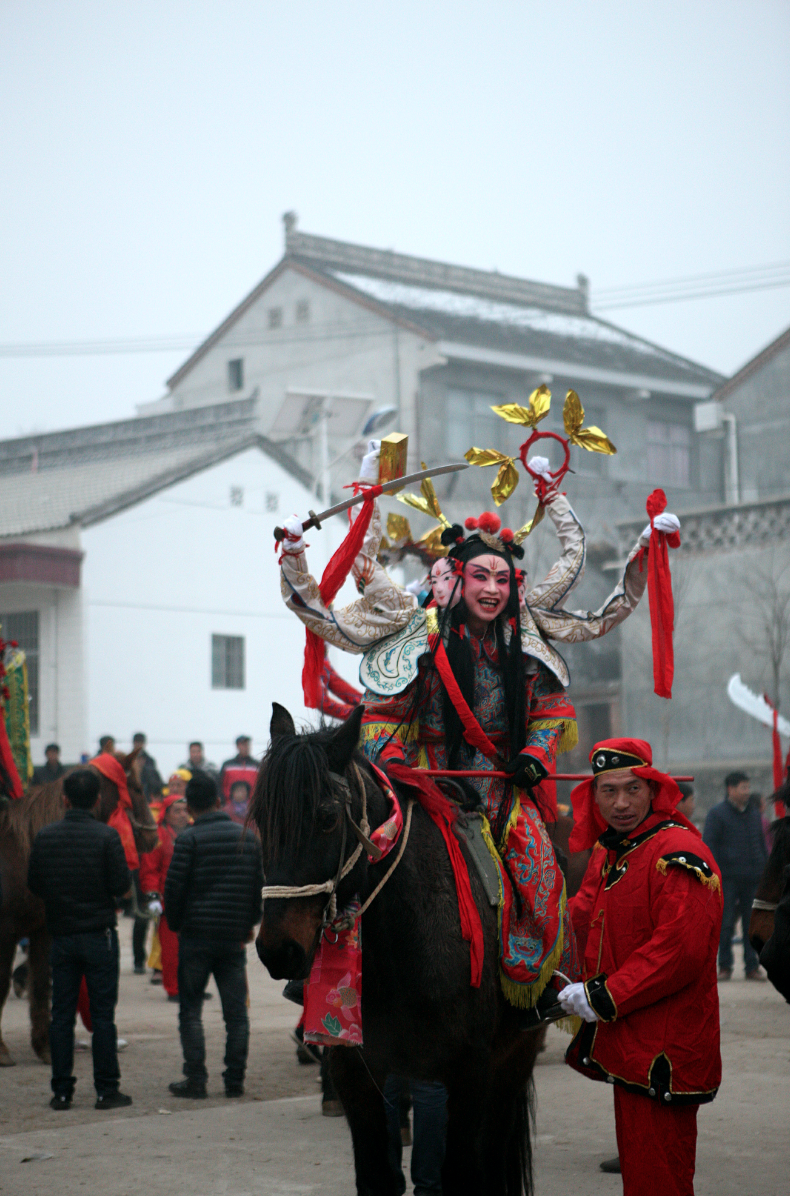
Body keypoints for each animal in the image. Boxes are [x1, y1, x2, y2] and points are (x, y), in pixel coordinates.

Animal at [0, 751, 156, 1071]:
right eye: (136, 788)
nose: (154, 836)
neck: (22, 853)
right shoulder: (6, 932)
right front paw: (2, 1050)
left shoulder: (43, 929)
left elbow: (42, 986)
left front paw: (45, 1047)